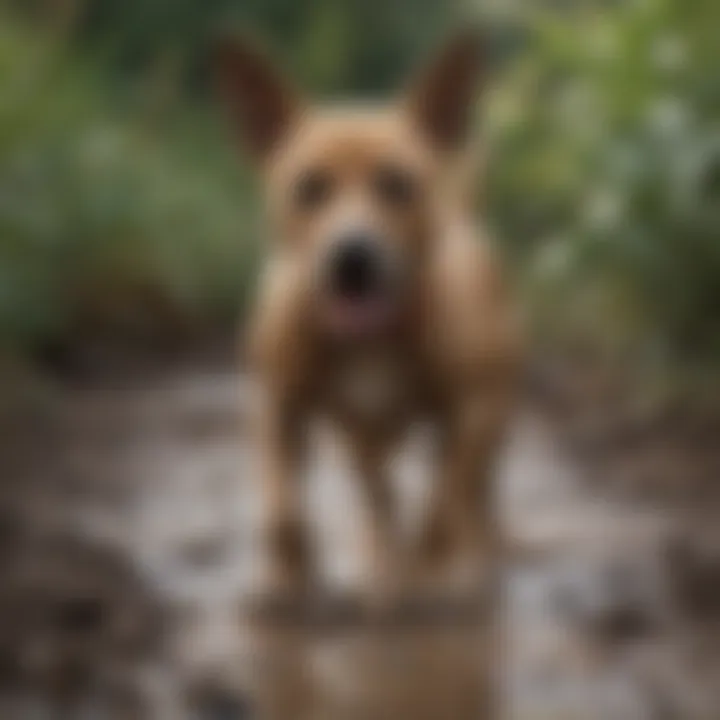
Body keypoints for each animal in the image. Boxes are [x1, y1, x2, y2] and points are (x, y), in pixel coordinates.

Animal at [217, 31, 520, 600]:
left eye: (397, 184)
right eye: (309, 187)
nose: (352, 255)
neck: (371, 338)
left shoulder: (474, 409)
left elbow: (443, 504)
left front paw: (429, 571)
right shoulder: (276, 404)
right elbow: (283, 507)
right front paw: (288, 575)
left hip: (492, 415)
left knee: (476, 495)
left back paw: (473, 556)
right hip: (359, 436)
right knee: (377, 494)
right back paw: (381, 558)